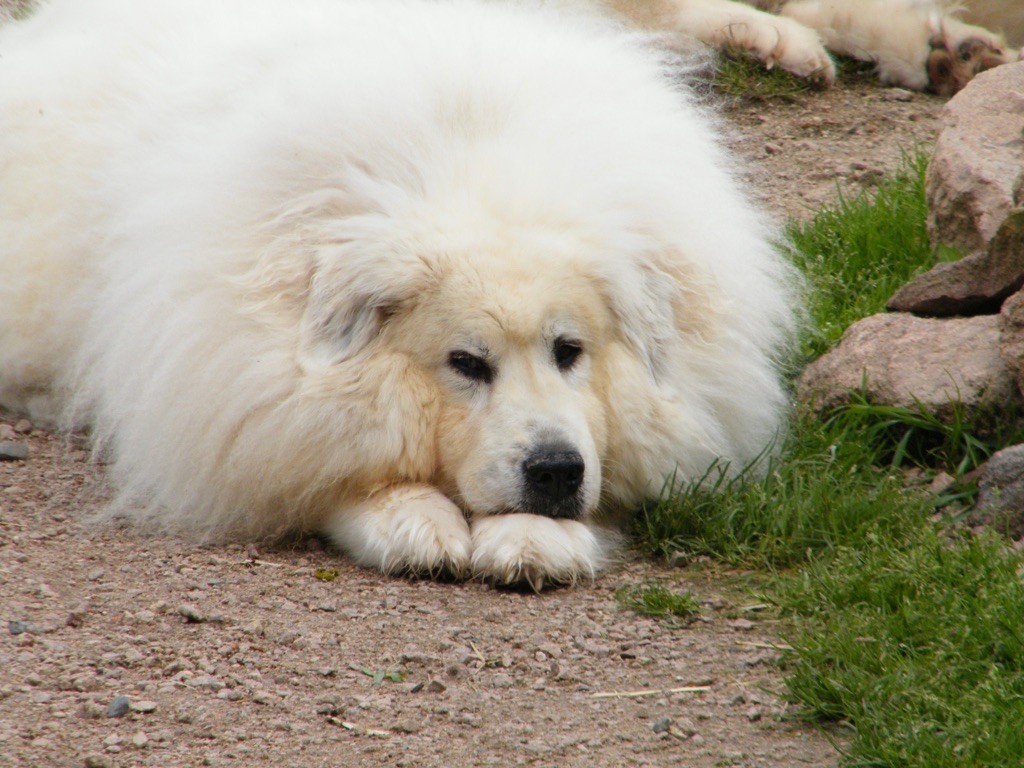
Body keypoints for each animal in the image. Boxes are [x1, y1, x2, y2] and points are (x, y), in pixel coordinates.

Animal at [0, 0, 798, 589]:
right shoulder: (248, 399)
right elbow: (343, 466)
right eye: (465, 364)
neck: (475, 170)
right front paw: (414, 523)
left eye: (570, 351)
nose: (554, 470)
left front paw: (535, 540)